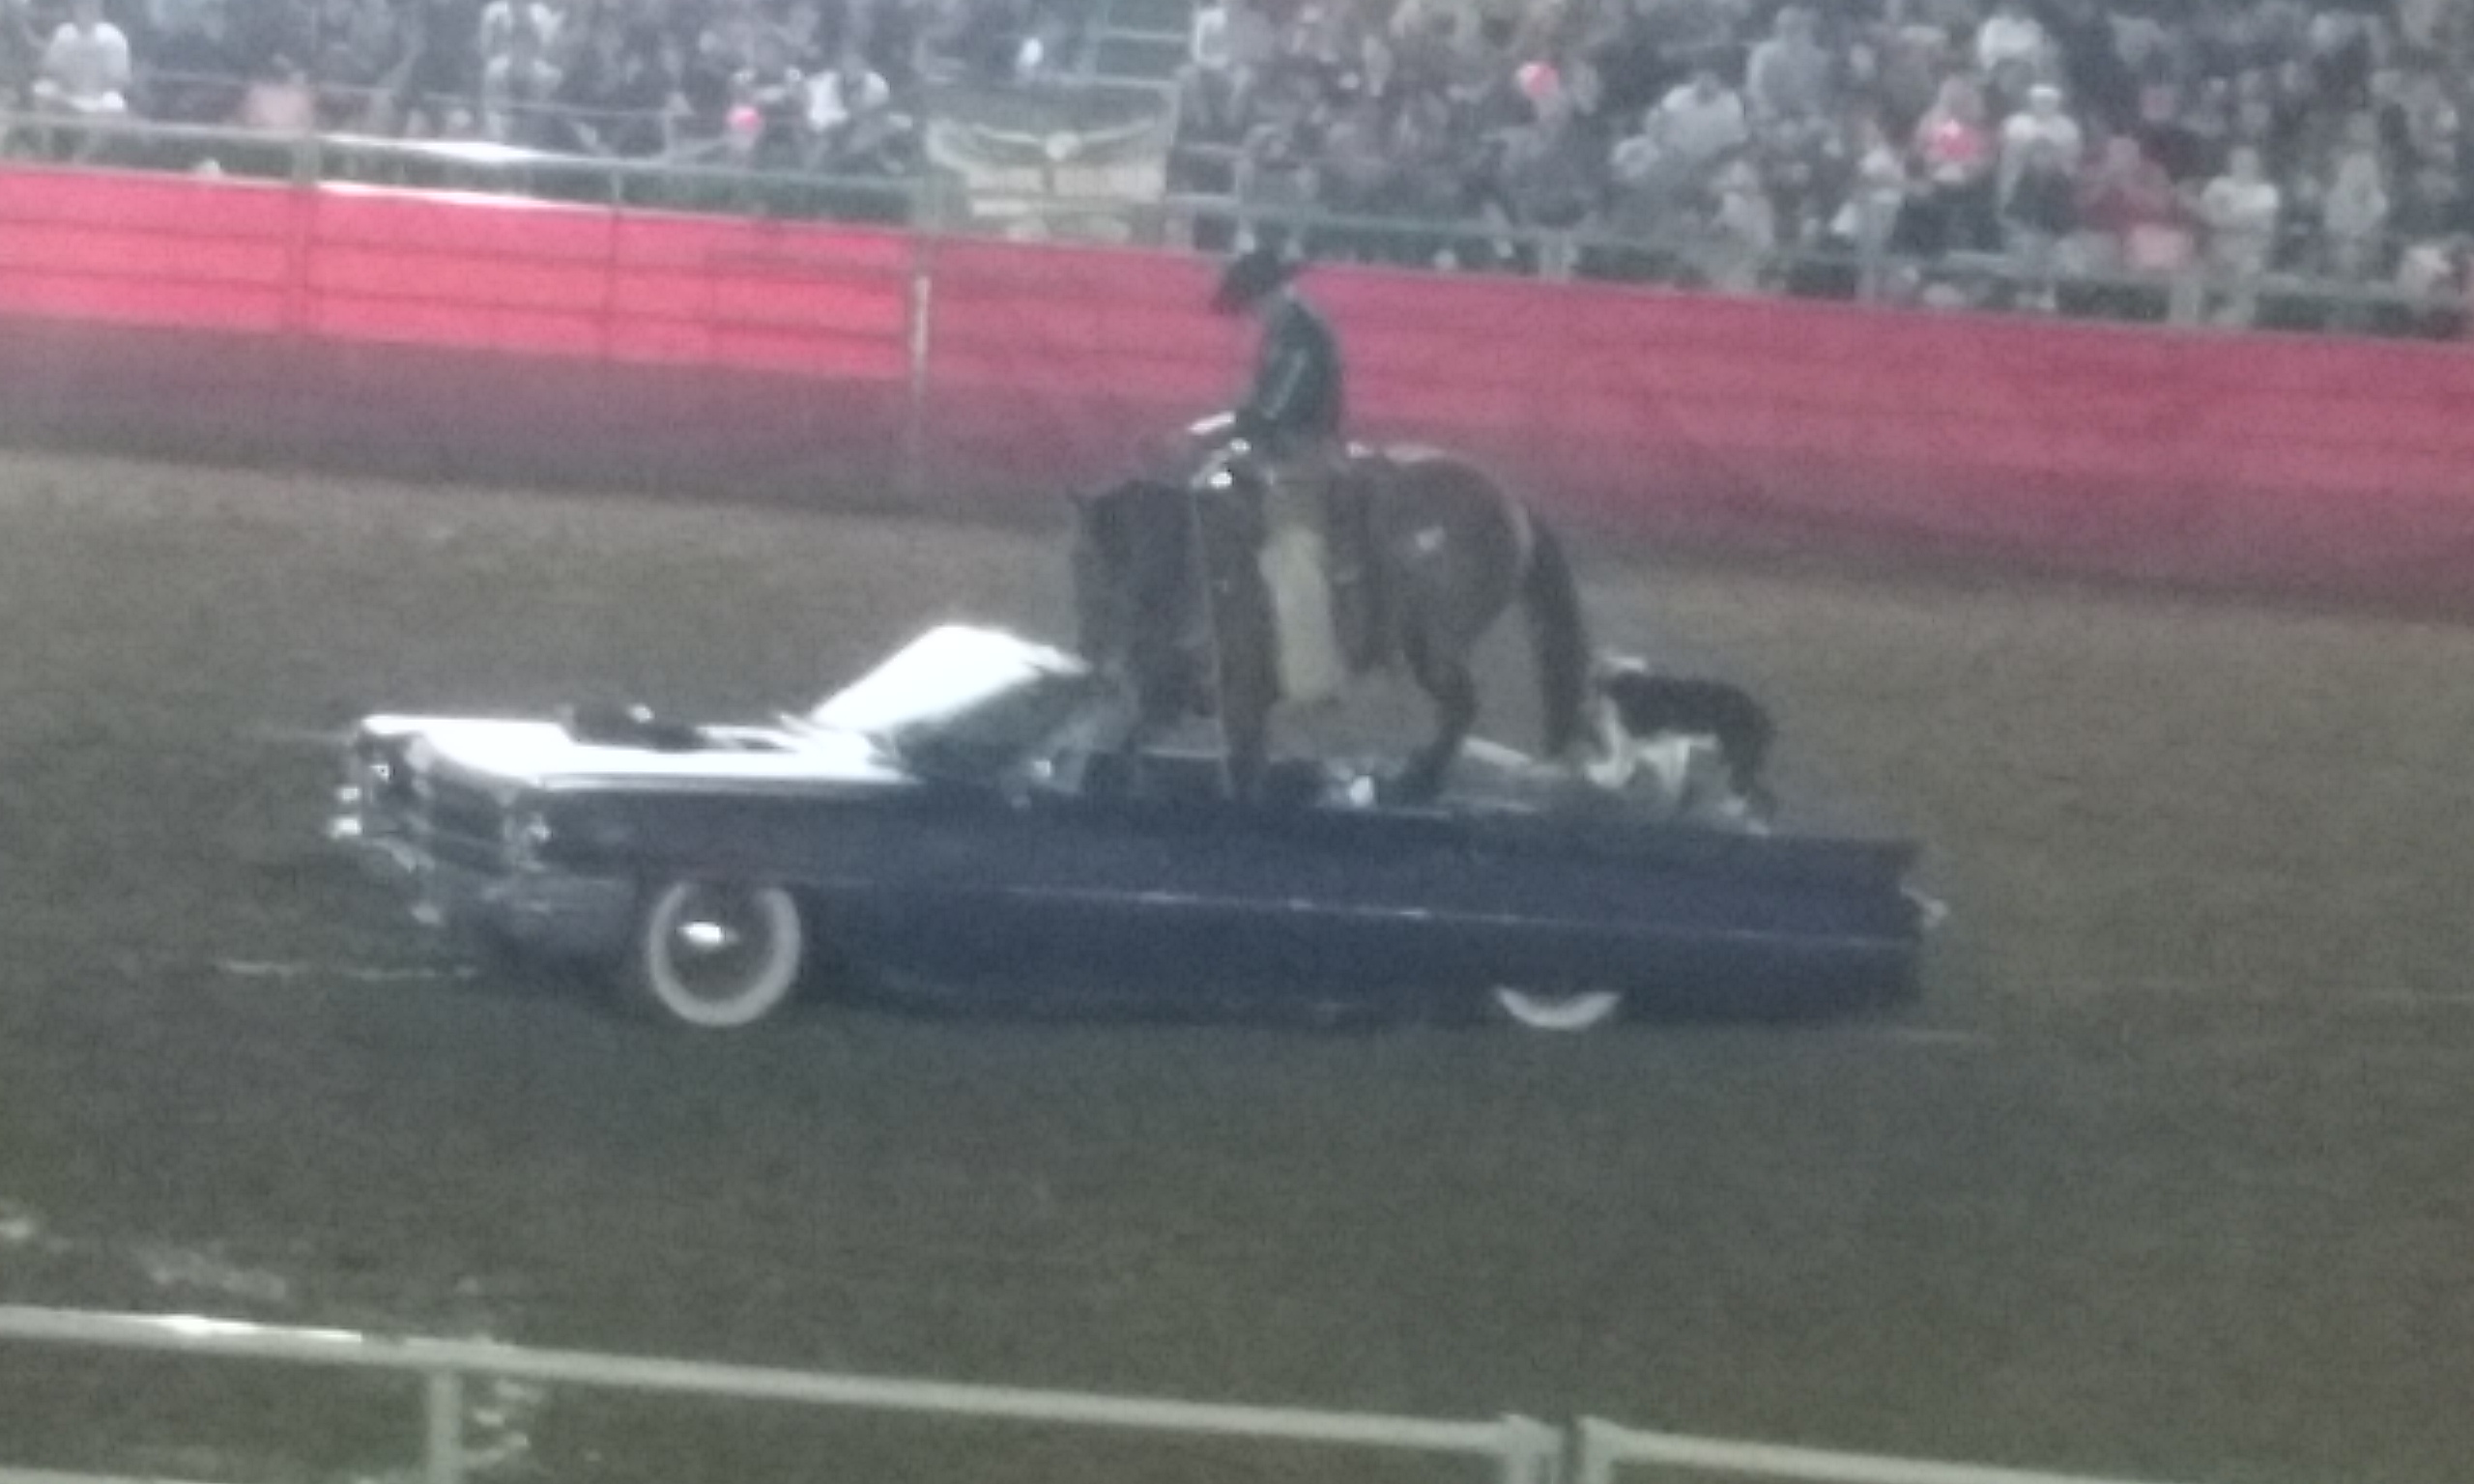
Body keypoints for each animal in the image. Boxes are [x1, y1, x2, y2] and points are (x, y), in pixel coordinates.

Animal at [1069, 442, 1592, 804]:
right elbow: (1135, 742)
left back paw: (1417, 781)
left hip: (1435, 646)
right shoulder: (1174, 693)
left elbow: (1242, 765)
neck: (1203, 565)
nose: (1096, 659)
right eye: (1080, 566)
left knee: (1461, 706)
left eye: (1109, 568)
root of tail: (1511, 501)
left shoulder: (1241, 698)